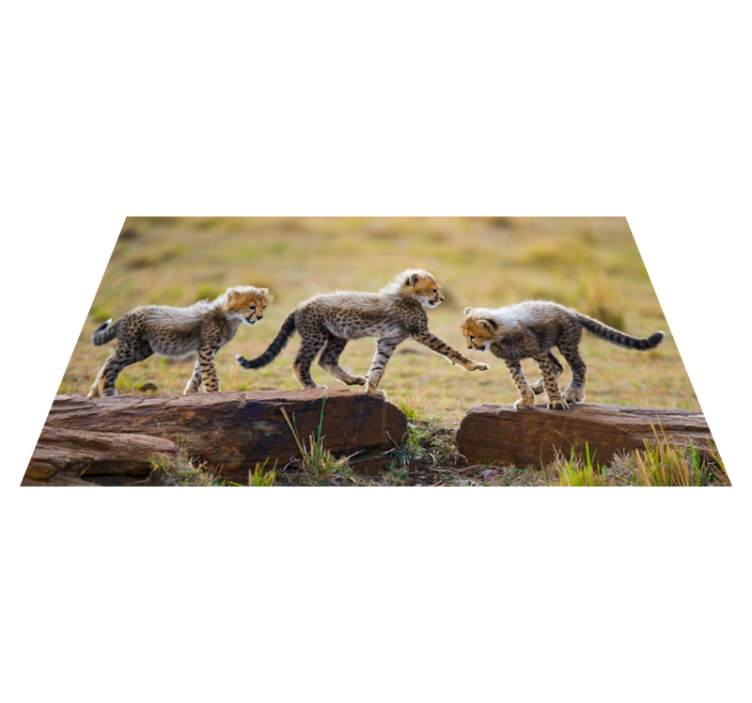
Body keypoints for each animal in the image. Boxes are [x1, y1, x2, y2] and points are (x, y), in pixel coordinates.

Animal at [87, 286, 272, 397]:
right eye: (252, 307)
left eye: (264, 307)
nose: (260, 317)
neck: (230, 317)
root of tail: (129, 312)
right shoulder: (206, 348)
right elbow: (210, 373)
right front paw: (214, 393)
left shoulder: (209, 349)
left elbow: (198, 372)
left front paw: (190, 392)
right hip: (131, 347)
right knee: (112, 364)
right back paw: (106, 393)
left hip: (142, 350)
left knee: (109, 360)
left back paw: (94, 394)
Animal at [236, 269, 488, 399]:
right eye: (434, 290)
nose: (442, 299)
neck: (407, 297)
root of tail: (300, 305)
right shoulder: (421, 333)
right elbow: (450, 350)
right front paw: (473, 365)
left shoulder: (388, 340)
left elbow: (378, 366)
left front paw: (373, 388)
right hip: (315, 335)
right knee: (300, 363)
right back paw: (313, 388)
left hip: (339, 336)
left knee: (325, 360)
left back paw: (352, 380)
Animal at [460, 300, 664, 410]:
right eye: (465, 336)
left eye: (472, 336)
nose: (469, 346)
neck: (500, 335)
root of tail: (570, 310)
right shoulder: (512, 360)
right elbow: (520, 381)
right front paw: (527, 399)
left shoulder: (537, 353)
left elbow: (549, 379)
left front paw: (556, 402)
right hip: (548, 346)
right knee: (559, 366)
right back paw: (538, 387)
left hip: (565, 344)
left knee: (578, 366)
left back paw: (573, 393)